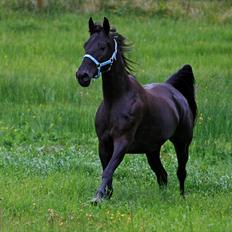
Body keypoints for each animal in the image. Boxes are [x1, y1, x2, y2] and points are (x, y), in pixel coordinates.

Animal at [75, 17, 196, 203]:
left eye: (102, 46)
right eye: (85, 45)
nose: (82, 76)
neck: (116, 100)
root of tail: (174, 92)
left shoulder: (122, 142)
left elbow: (108, 170)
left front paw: (97, 197)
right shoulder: (103, 143)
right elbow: (107, 170)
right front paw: (106, 195)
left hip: (182, 143)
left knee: (181, 172)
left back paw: (182, 198)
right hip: (152, 150)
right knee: (162, 175)